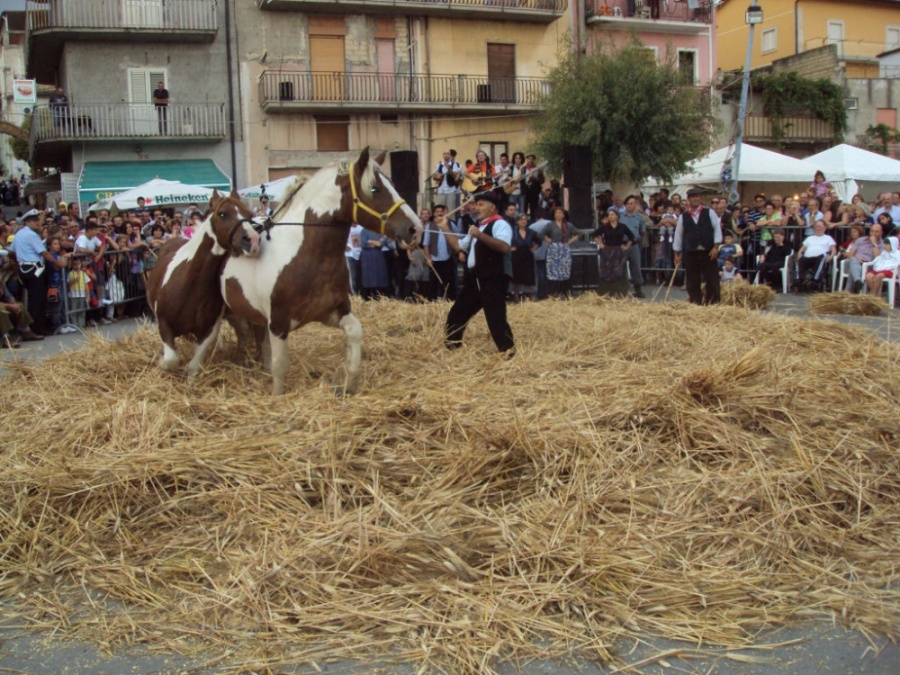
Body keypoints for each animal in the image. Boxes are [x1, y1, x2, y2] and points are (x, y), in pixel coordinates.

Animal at [146, 190, 262, 378]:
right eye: (222, 213)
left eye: (249, 214)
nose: (252, 240)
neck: (190, 286)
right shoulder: (164, 324)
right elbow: (171, 360)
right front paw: (161, 362)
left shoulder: (208, 331)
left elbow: (193, 366)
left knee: (244, 333)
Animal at [223, 145, 424, 394]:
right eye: (374, 188)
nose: (415, 229)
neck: (306, 256)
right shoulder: (278, 324)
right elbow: (280, 367)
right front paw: (277, 396)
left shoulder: (331, 311)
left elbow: (355, 332)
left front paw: (348, 383)